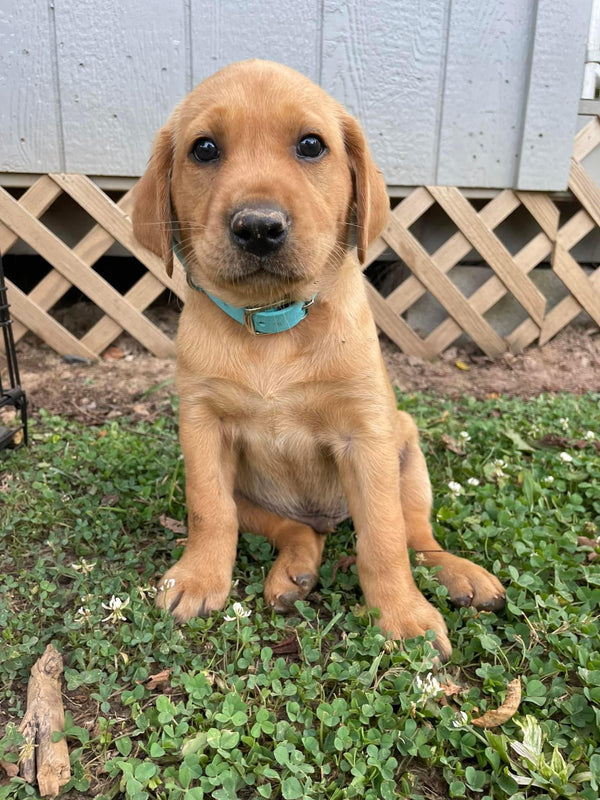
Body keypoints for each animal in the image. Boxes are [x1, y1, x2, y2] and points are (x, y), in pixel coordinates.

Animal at [134, 54, 504, 656]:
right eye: (204, 149)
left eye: (311, 145)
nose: (259, 227)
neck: (273, 327)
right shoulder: (202, 427)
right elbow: (208, 510)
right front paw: (197, 578)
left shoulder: (366, 436)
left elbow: (384, 538)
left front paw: (402, 615)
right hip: (257, 499)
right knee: (293, 528)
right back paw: (293, 574)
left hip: (407, 452)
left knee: (416, 535)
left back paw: (460, 573)